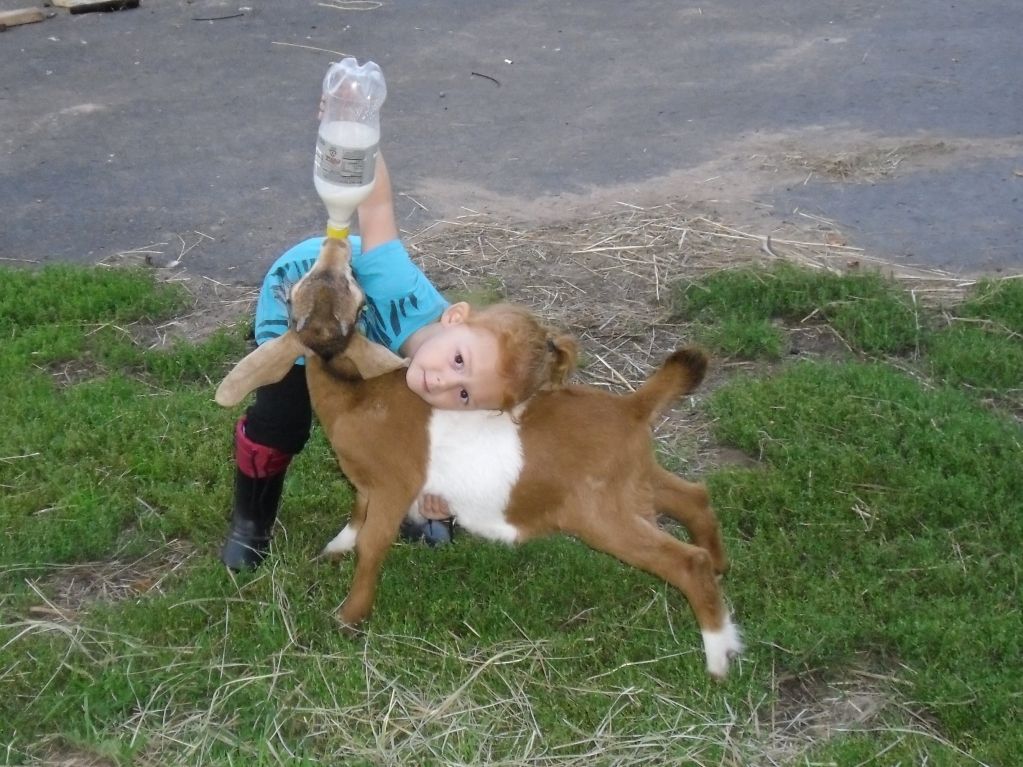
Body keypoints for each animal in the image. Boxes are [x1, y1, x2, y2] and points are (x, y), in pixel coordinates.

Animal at [216, 238, 743, 678]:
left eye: (355, 295)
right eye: (302, 294)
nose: (335, 247)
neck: (358, 397)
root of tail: (630, 407)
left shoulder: (393, 486)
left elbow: (373, 545)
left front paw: (348, 618)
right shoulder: (367, 485)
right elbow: (356, 515)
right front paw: (333, 550)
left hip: (601, 511)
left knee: (685, 560)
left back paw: (719, 655)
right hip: (634, 477)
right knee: (693, 496)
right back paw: (722, 567)